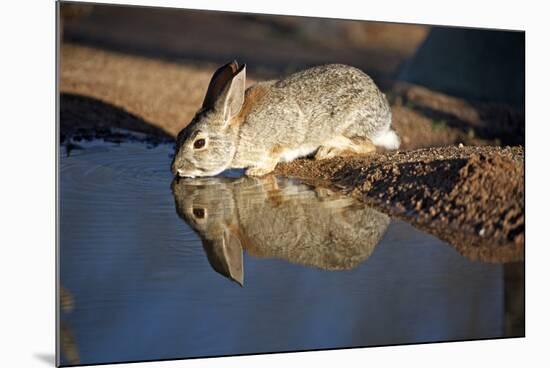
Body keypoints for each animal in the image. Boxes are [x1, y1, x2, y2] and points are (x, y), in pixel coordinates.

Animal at [172, 61, 402, 178]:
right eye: (179, 134)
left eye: (199, 143)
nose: (175, 168)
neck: (237, 135)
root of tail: (385, 115)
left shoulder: (279, 142)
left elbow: (273, 158)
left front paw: (256, 171)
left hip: (348, 126)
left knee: (367, 146)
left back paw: (327, 151)